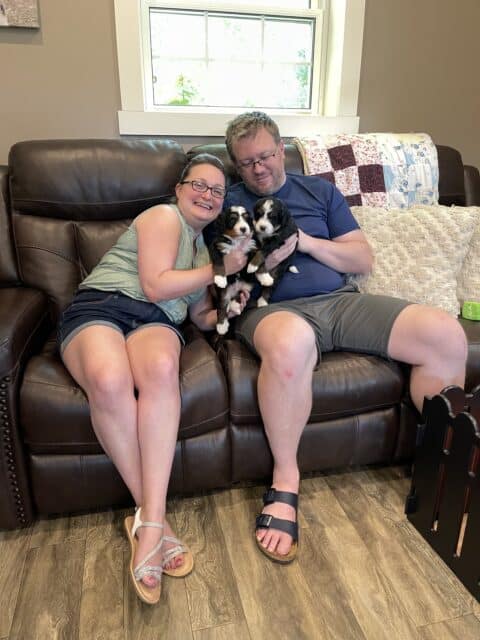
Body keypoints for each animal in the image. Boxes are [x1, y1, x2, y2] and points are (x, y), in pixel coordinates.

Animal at [208, 205, 256, 336]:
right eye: (233, 219)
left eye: (246, 218)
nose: (244, 229)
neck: (237, 241)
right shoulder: (216, 246)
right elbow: (219, 262)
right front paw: (220, 278)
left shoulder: (251, 247)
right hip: (223, 292)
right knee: (222, 304)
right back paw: (222, 326)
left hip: (246, 286)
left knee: (239, 295)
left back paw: (234, 305)